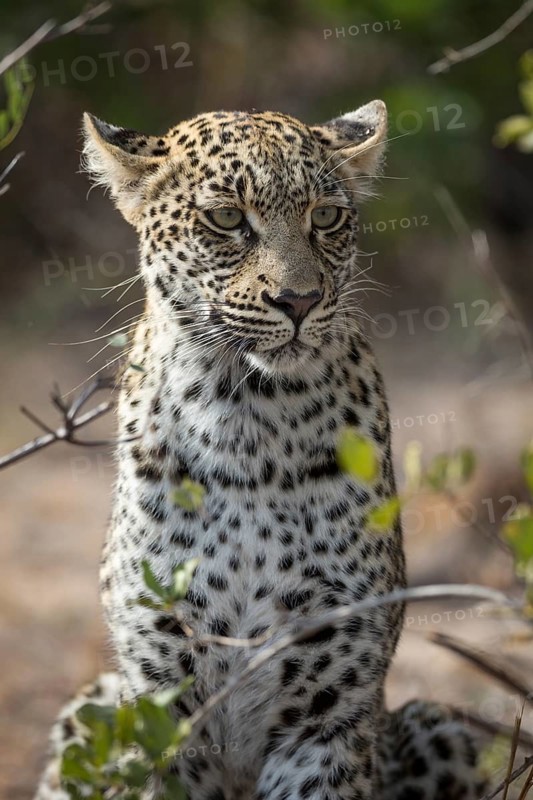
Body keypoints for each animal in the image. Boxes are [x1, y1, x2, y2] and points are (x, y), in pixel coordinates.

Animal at [35, 100, 486, 800]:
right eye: (227, 219)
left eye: (325, 217)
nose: (298, 301)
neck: (245, 416)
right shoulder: (161, 705)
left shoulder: (326, 718)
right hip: (88, 711)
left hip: (445, 729)